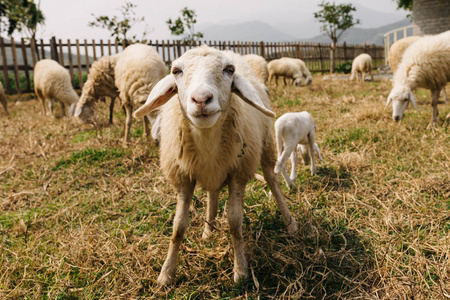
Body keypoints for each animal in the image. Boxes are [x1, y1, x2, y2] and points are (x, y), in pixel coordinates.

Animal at [132, 44, 298, 286]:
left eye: (229, 70)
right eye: (176, 71)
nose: (201, 99)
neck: (207, 139)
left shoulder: (238, 174)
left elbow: (235, 223)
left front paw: (240, 270)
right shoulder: (183, 178)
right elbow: (178, 227)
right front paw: (166, 274)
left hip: (265, 146)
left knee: (272, 181)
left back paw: (290, 222)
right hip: (214, 170)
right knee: (212, 194)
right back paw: (207, 233)